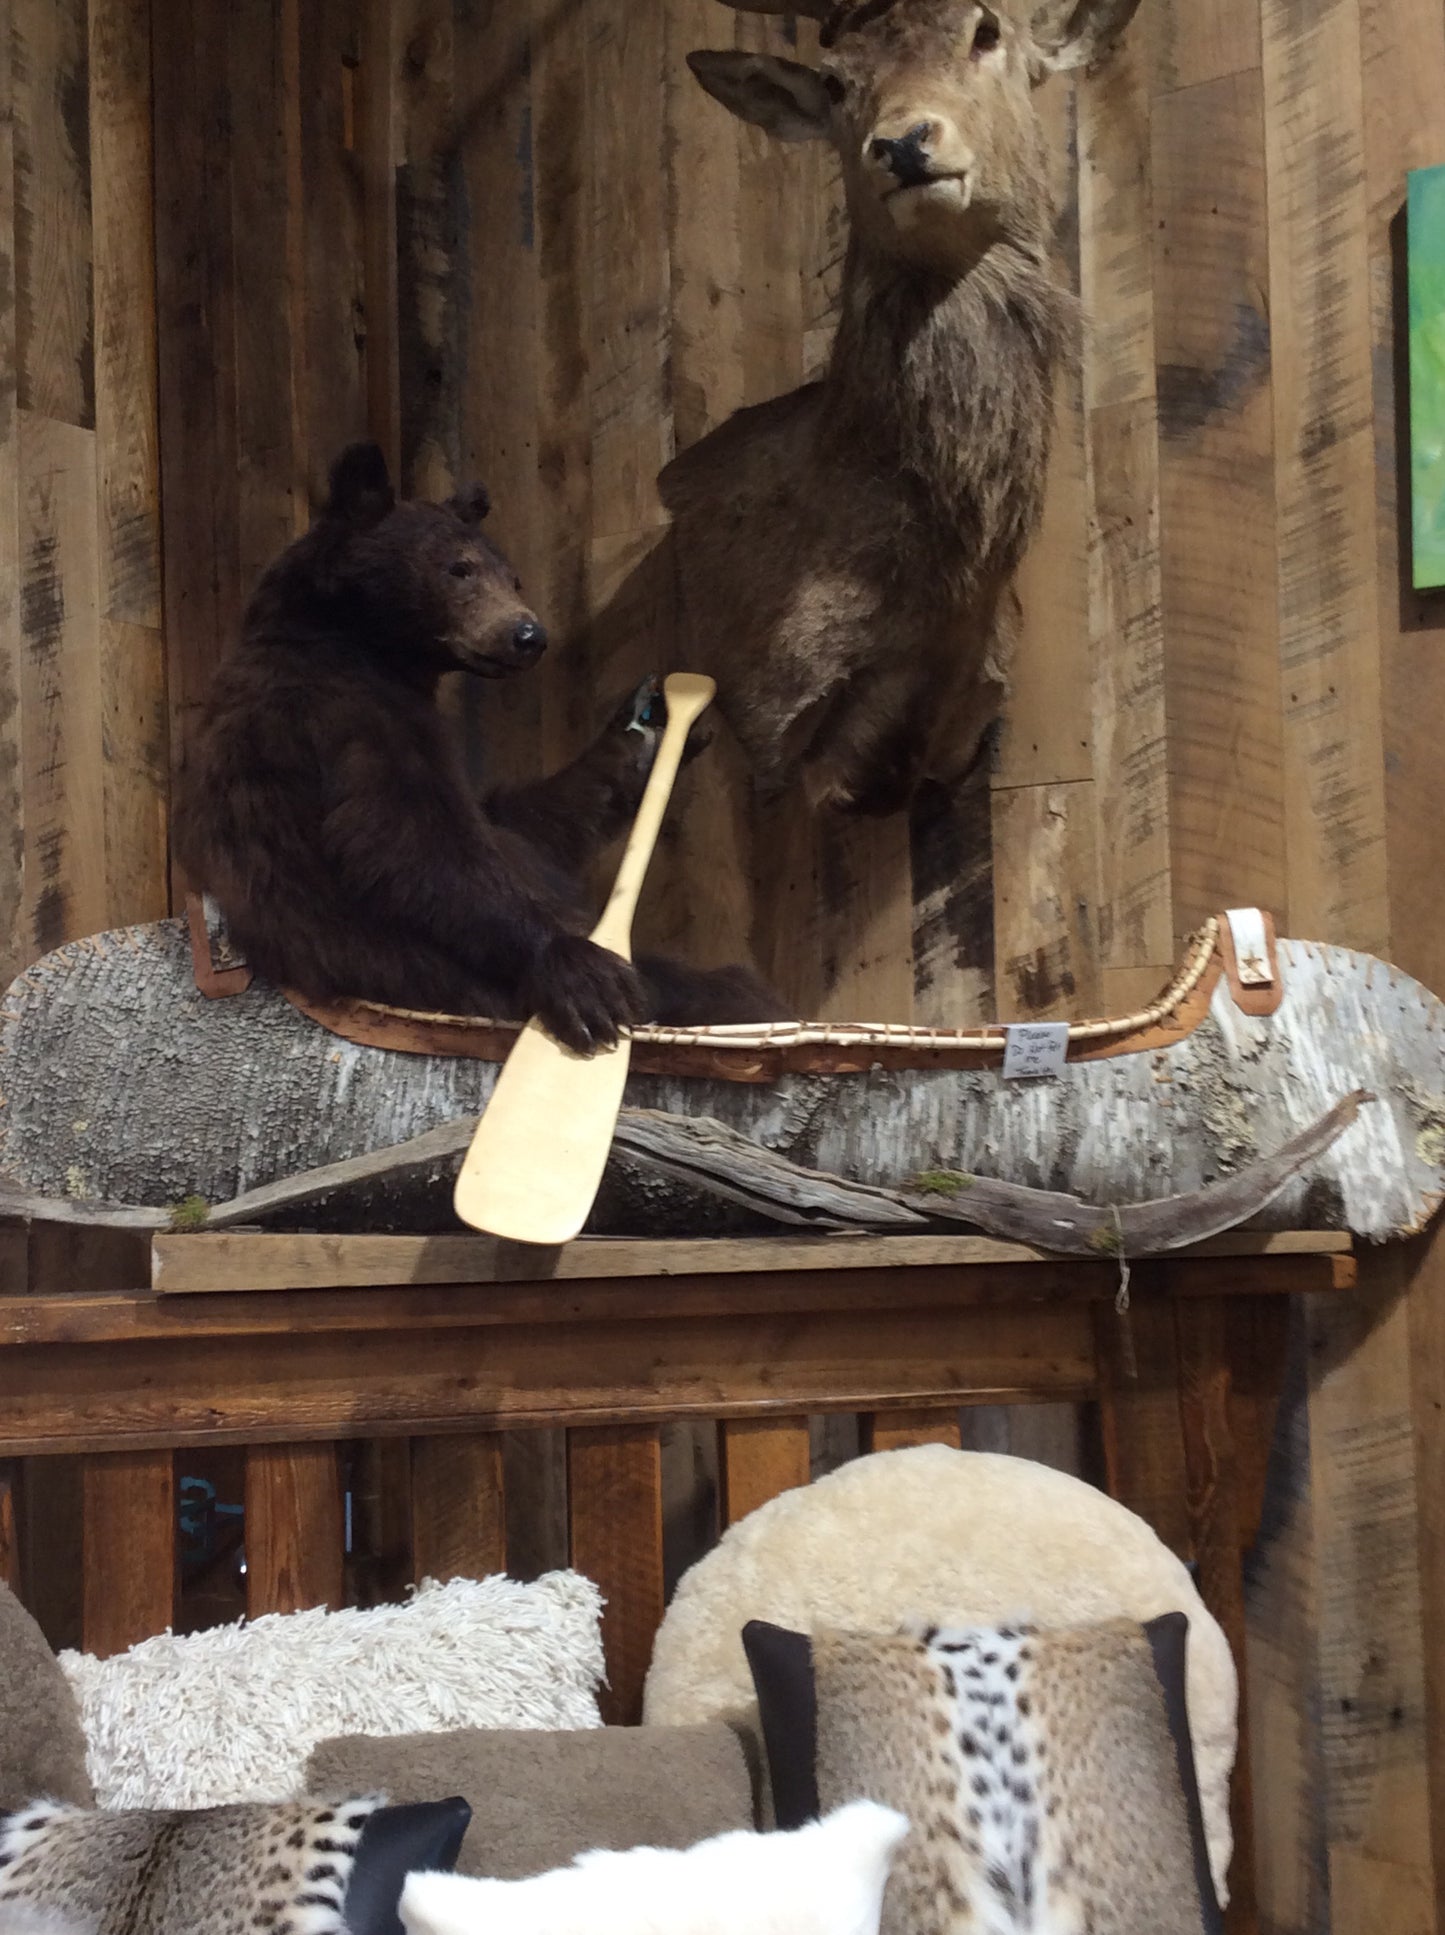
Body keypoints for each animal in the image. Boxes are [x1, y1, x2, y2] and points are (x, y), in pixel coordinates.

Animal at [180, 441, 793, 1052]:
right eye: (460, 568)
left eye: (513, 578)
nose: (528, 635)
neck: (360, 643)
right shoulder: (343, 717)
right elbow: (410, 840)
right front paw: (583, 973)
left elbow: (518, 822)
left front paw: (647, 732)